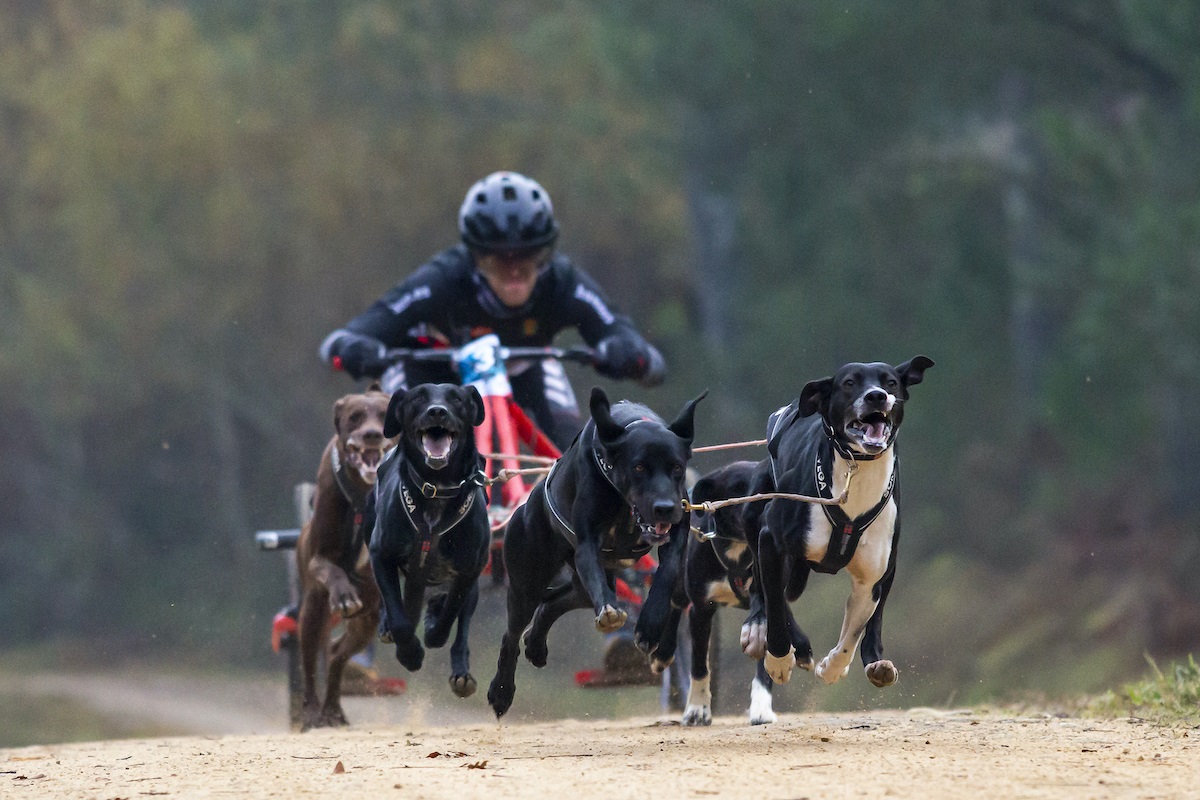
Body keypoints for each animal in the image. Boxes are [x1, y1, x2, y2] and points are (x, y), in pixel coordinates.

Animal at [295, 383, 393, 734]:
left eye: (385, 415)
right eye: (355, 416)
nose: (373, 434)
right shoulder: (319, 558)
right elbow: (332, 570)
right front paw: (344, 594)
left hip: (366, 624)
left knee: (337, 653)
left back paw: (333, 710)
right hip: (312, 609)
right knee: (310, 663)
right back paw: (313, 714)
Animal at [369, 383, 492, 695]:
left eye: (457, 398)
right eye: (418, 398)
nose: (438, 411)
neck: (436, 489)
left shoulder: (471, 568)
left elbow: (451, 614)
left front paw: (435, 629)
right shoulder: (380, 554)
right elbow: (399, 619)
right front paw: (410, 653)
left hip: (472, 585)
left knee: (461, 624)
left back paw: (461, 672)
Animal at [487, 388, 705, 719]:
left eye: (677, 467)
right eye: (639, 467)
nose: (665, 508)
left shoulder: (677, 531)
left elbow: (666, 572)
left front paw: (650, 625)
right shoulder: (587, 543)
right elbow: (595, 574)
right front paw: (615, 615)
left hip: (585, 584)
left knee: (554, 603)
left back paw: (536, 643)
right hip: (527, 579)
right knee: (512, 632)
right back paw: (501, 691)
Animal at [748, 357, 936, 690]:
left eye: (890, 382)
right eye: (849, 383)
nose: (876, 396)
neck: (854, 473)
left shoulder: (872, 577)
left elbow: (855, 629)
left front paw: (833, 667)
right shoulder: (771, 539)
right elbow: (776, 606)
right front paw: (779, 658)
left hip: (888, 569)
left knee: (874, 621)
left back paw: (876, 662)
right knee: (766, 594)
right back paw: (767, 633)